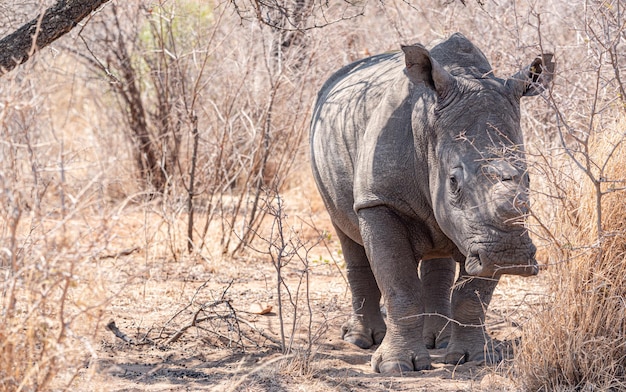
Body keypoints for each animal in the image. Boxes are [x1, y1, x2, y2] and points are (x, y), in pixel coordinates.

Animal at [308, 33, 552, 374]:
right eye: (453, 182)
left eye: (528, 179)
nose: (509, 256)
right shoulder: (379, 201)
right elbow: (400, 286)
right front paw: (396, 367)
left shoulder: (482, 234)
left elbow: (472, 296)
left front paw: (474, 358)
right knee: (346, 233)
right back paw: (360, 340)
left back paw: (438, 339)